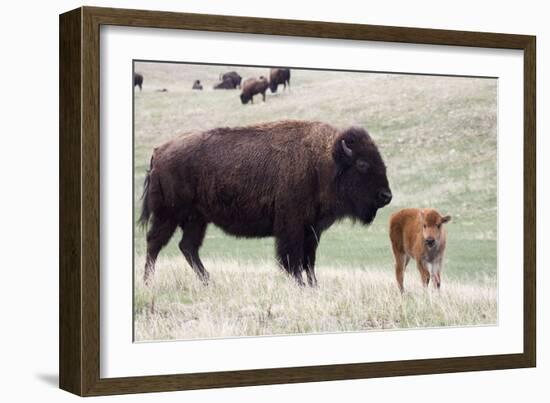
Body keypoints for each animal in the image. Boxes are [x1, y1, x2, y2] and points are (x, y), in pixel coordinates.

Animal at [140, 120, 394, 288]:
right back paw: (148, 281)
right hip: (168, 215)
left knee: (188, 247)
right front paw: (301, 285)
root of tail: (159, 151)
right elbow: (293, 258)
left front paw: (314, 285)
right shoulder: (292, 226)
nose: (386, 196)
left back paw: (208, 281)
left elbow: (309, 260)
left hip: (197, 219)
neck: (323, 162)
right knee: (155, 243)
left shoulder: (312, 229)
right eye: (362, 164)